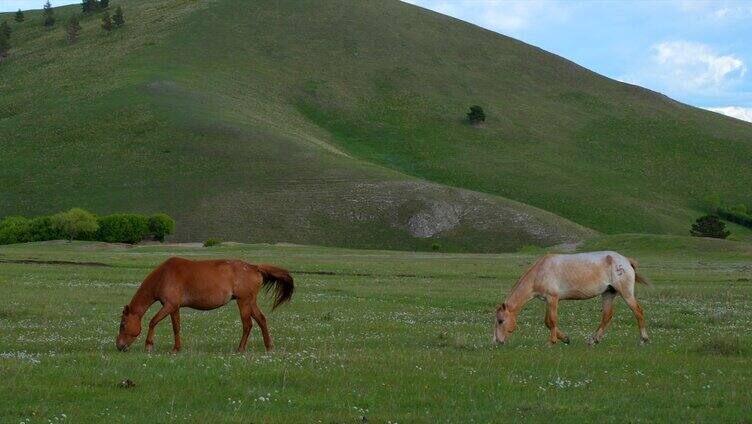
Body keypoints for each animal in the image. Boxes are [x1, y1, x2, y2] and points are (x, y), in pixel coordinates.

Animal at [117, 256, 294, 352]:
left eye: (123, 324)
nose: (119, 345)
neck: (164, 276)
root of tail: (254, 267)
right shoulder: (174, 307)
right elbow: (176, 327)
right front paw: (176, 348)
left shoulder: (169, 306)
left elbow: (153, 321)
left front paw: (149, 345)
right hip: (250, 302)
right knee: (261, 320)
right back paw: (269, 346)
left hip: (244, 302)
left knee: (247, 325)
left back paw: (240, 349)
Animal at [494, 252, 652, 344]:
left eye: (501, 321)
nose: (497, 341)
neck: (540, 271)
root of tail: (626, 260)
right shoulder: (548, 300)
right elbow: (547, 322)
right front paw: (565, 339)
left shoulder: (553, 298)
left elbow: (552, 320)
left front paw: (551, 342)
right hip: (608, 294)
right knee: (607, 316)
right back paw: (594, 340)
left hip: (626, 294)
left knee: (638, 312)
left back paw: (644, 339)